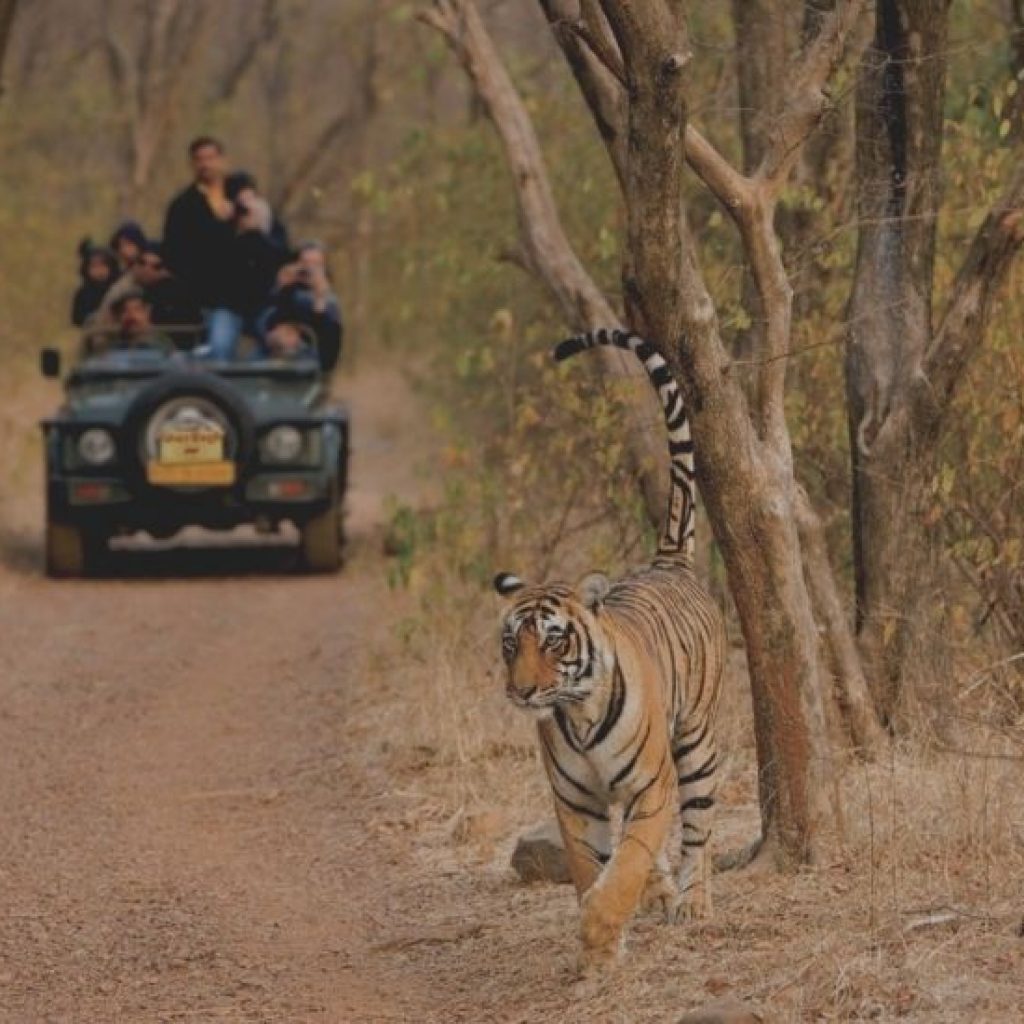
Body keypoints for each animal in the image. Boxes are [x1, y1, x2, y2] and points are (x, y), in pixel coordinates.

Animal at [494, 327, 725, 973]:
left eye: (553, 639)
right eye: (510, 642)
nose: (522, 691)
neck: (578, 714)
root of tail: (668, 562)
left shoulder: (652, 786)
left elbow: (625, 865)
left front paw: (603, 929)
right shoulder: (577, 804)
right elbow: (588, 868)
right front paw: (600, 945)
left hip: (695, 743)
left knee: (698, 829)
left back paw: (693, 902)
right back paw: (664, 894)